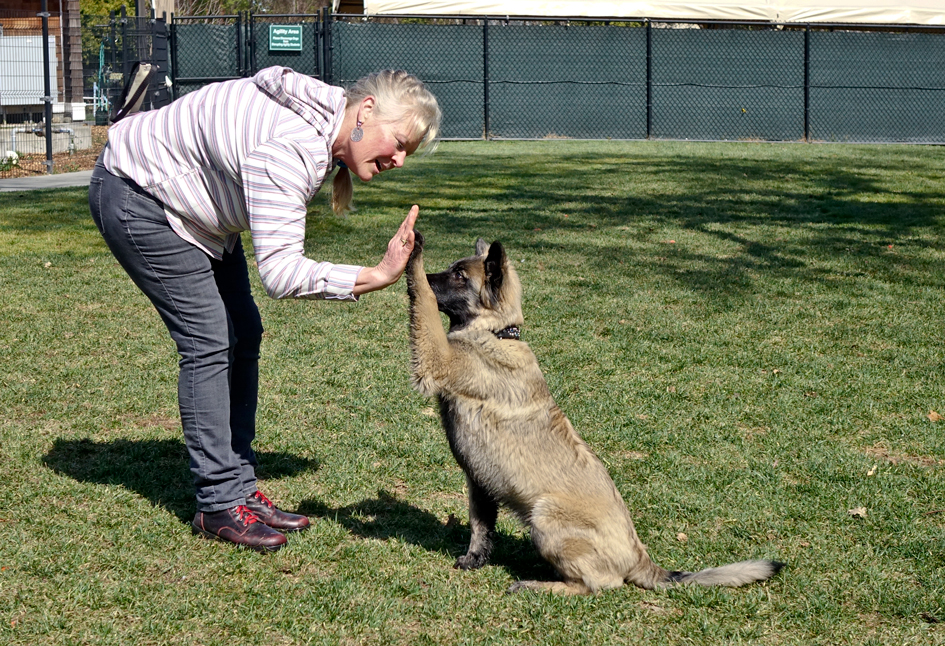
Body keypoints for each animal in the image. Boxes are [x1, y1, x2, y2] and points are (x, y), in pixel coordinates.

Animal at [406, 234, 780, 596]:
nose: (432, 274)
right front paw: (475, 559)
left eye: (459, 275)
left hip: (545, 516)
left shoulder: (436, 357)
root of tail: (640, 558)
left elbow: (422, 302)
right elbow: (480, 526)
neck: (497, 333)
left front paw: (413, 251)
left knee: (598, 585)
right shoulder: (479, 482)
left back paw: (539, 586)